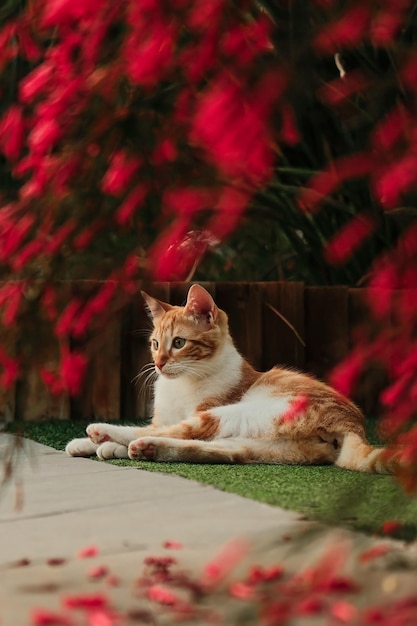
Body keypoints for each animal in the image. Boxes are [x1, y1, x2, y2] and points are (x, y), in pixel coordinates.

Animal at [66, 280, 396, 470]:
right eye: (155, 344)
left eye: (179, 343)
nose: (158, 364)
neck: (180, 385)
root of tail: (355, 426)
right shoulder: (162, 417)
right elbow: (159, 425)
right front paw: (87, 445)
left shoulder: (203, 408)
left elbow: (162, 426)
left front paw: (102, 441)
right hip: (260, 444)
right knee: (218, 451)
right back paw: (144, 449)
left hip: (239, 412)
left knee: (186, 432)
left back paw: (108, 434)